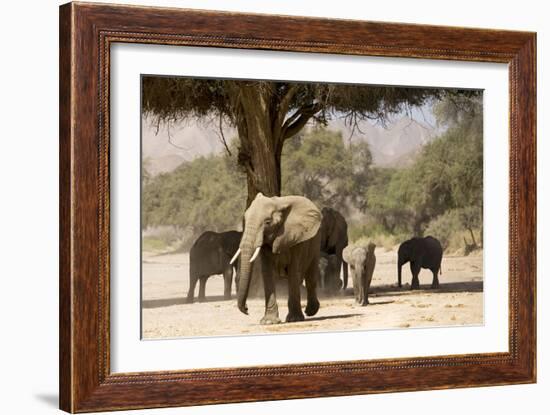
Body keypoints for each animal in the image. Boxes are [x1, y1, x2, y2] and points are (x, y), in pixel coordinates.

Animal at [233, 193, 324, 326]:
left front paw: (294, 319)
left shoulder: (296, 238)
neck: (278, 203)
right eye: (244, 219)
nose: (246, 309)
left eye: (267, 222)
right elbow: (267, 272)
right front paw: (269, 321)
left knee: (310, 274)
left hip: (316, 240)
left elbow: (294, 271)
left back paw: (311, 312)